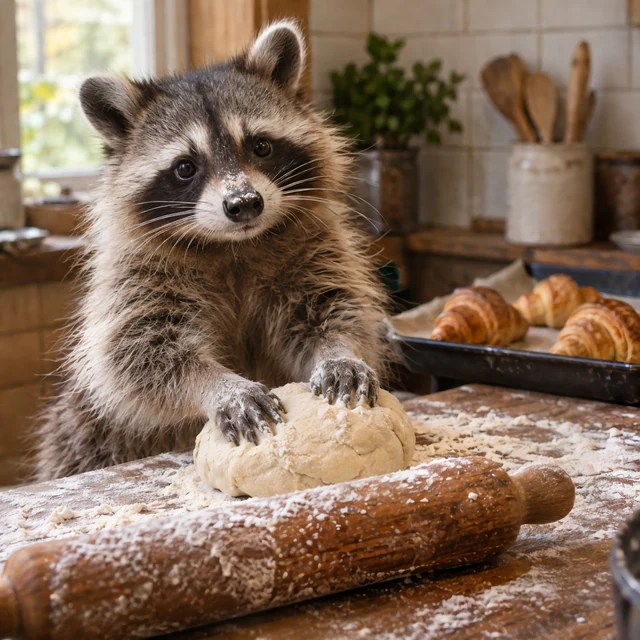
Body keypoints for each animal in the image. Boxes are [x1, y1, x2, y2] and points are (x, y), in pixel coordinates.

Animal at [35, 21, 392, 480]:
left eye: (261, 146)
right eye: (185, 167)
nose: (244, 204)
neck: (233, 246)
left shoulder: (313, 247)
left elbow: (334, 307)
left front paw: (339, 353)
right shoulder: (136, 274)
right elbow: (139, 354)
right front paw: (219, 385)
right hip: (85, 435)